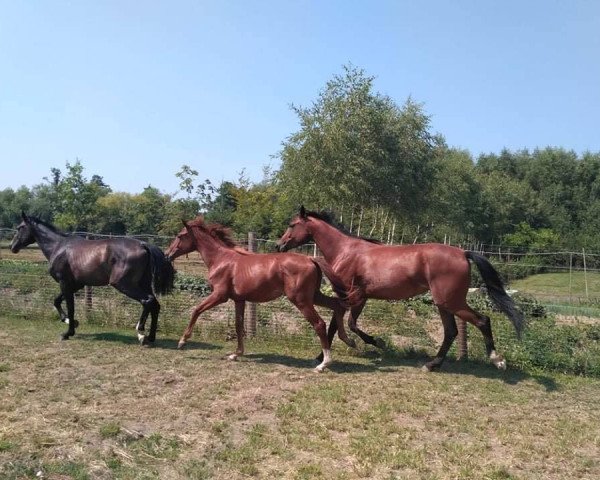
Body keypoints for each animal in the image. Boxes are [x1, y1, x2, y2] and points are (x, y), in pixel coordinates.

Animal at [10, 212, 175, 344]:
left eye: (20, 227)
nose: (12, 247)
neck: (59, 247)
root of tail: (143, 245)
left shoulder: (65, 283)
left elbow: (70, 307)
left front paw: (67, 333)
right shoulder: (76, 285)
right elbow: (57, 301)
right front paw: (69, 321)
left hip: (123, 284)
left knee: (148, 301)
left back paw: (140, 333)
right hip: (142, 284)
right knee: (155, 305)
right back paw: (151, 337)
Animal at [164, 217, 352, 372]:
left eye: (180, 236)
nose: (167, 255)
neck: (221, 260)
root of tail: (311, 259)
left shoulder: (219, 296)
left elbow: (196, 310)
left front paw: (182, 341)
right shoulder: (239, 300)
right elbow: (239, 325)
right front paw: (236, 354)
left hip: (301, 300)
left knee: (320, 323)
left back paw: (323, 363)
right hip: (313, 296)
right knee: (338, 305)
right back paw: (349, 340)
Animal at [276, 206, 524, 372]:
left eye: (292, 225)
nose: (279, 245)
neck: (346, 252)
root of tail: (463, 253)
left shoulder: (352, 296)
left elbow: (341, 326)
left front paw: (373, 343)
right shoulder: (359, 298)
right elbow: (343, 325)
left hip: (451, 301)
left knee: (482, 321)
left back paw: (498, 360)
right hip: (443, 303)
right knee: (451, 332)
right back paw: (432, 364)